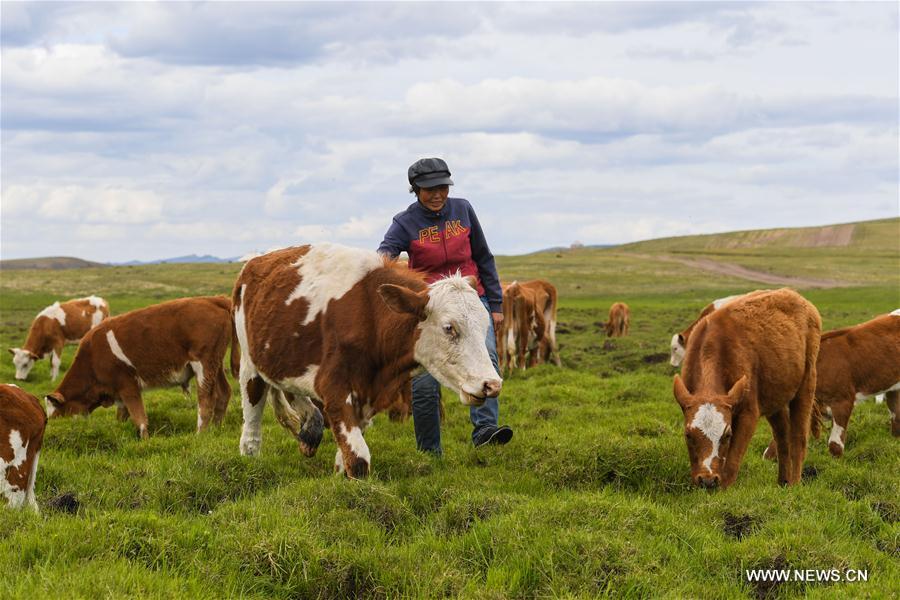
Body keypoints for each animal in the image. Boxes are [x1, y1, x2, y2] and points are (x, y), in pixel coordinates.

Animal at [44, 298, 236, 438]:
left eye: (55, 414)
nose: (52, 428)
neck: (91, 358)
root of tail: (211, 300)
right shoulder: (119, 392)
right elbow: (122, 415)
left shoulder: (127, 385)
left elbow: (139, 418)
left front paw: (145, 440)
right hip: (216, 365)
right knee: (223, 393)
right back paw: (216, 429)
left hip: (203, 365)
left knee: (206, 400)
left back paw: (200, 434)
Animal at [230, 244, 500, 478]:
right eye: (449, 327)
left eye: (486, 325)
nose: (492, 384)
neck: (370, 315)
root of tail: (255, 262)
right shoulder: (336, 392)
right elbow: (359, 460)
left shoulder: (365, 396)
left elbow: (346, 458)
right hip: (250, 366)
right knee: (252, 416)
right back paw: (252, 453)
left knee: (290, 391)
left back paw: (310, 430)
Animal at [672, 288, 820, 490]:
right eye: (688, 435)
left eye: (727, 435)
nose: (708, 480)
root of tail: (793, 294)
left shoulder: (748, 413)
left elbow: (732, 462)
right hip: (775, 399)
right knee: (782, 437)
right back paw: (783, 481)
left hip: (806, 384)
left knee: (798, 438)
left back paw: (795, 484)